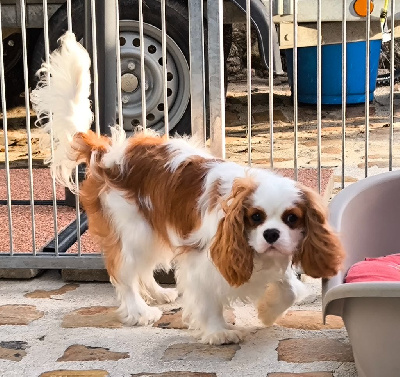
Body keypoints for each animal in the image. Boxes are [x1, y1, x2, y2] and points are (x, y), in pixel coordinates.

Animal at [31, 32, 346, 344]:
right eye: (255, 217)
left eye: (291, 218)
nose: (271, 234)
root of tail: (108, 151)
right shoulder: (202, 262)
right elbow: (207, 299)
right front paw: (218, 331)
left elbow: (292, 289)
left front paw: (268, 312)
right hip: (134, 231)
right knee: (123, 273)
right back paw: (139, 311)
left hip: (153, 229)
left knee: (142, 270)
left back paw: (159, 293)